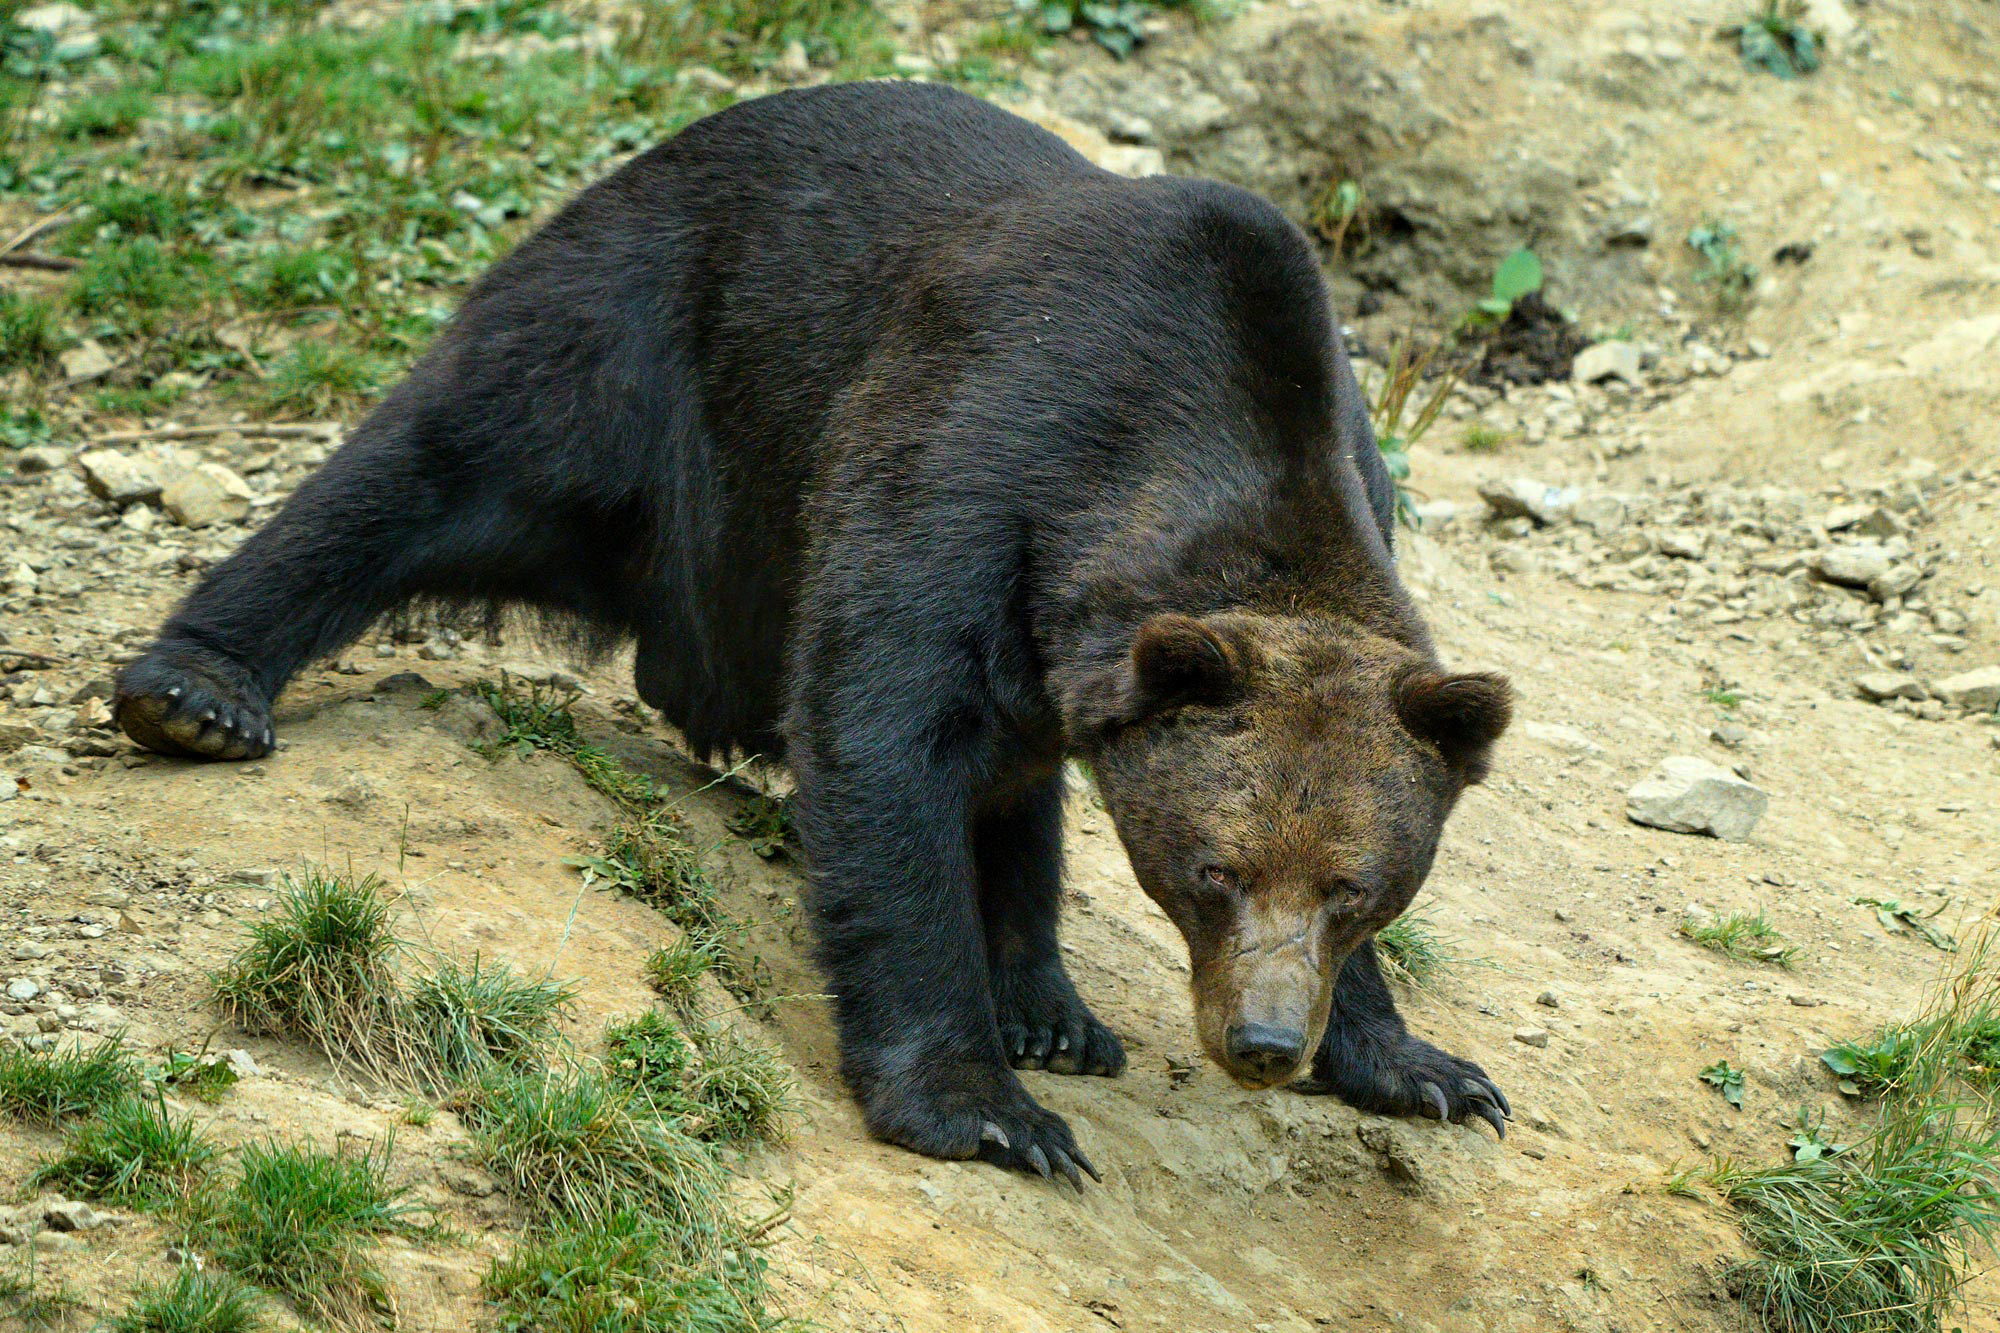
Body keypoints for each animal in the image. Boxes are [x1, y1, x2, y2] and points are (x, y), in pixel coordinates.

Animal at [113, 78, 1512, 1176]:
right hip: (639, 349)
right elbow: (882, 736)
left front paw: (1418, 1064)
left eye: (1356, 887)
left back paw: (1048, 1006)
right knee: (434, 462)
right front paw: (983, 1108)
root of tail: (674, 135)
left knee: (1013, 782)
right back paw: (198, 692)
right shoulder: (973, 460)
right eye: (1210, 870)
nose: (1263, 1041)